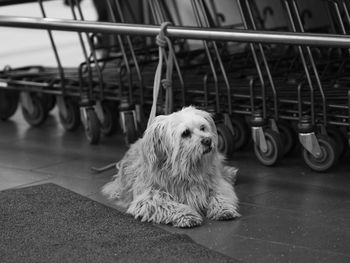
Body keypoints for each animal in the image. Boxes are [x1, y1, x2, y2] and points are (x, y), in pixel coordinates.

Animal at [102, 106, 241, 228]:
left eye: (202, 128)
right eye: (185, 133)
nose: (208, 140)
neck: (187, 170)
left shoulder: (216, 184)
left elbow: (218, 194)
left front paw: (223, 209)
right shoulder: (148, 198)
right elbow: (168, 204)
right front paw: (187, 215)